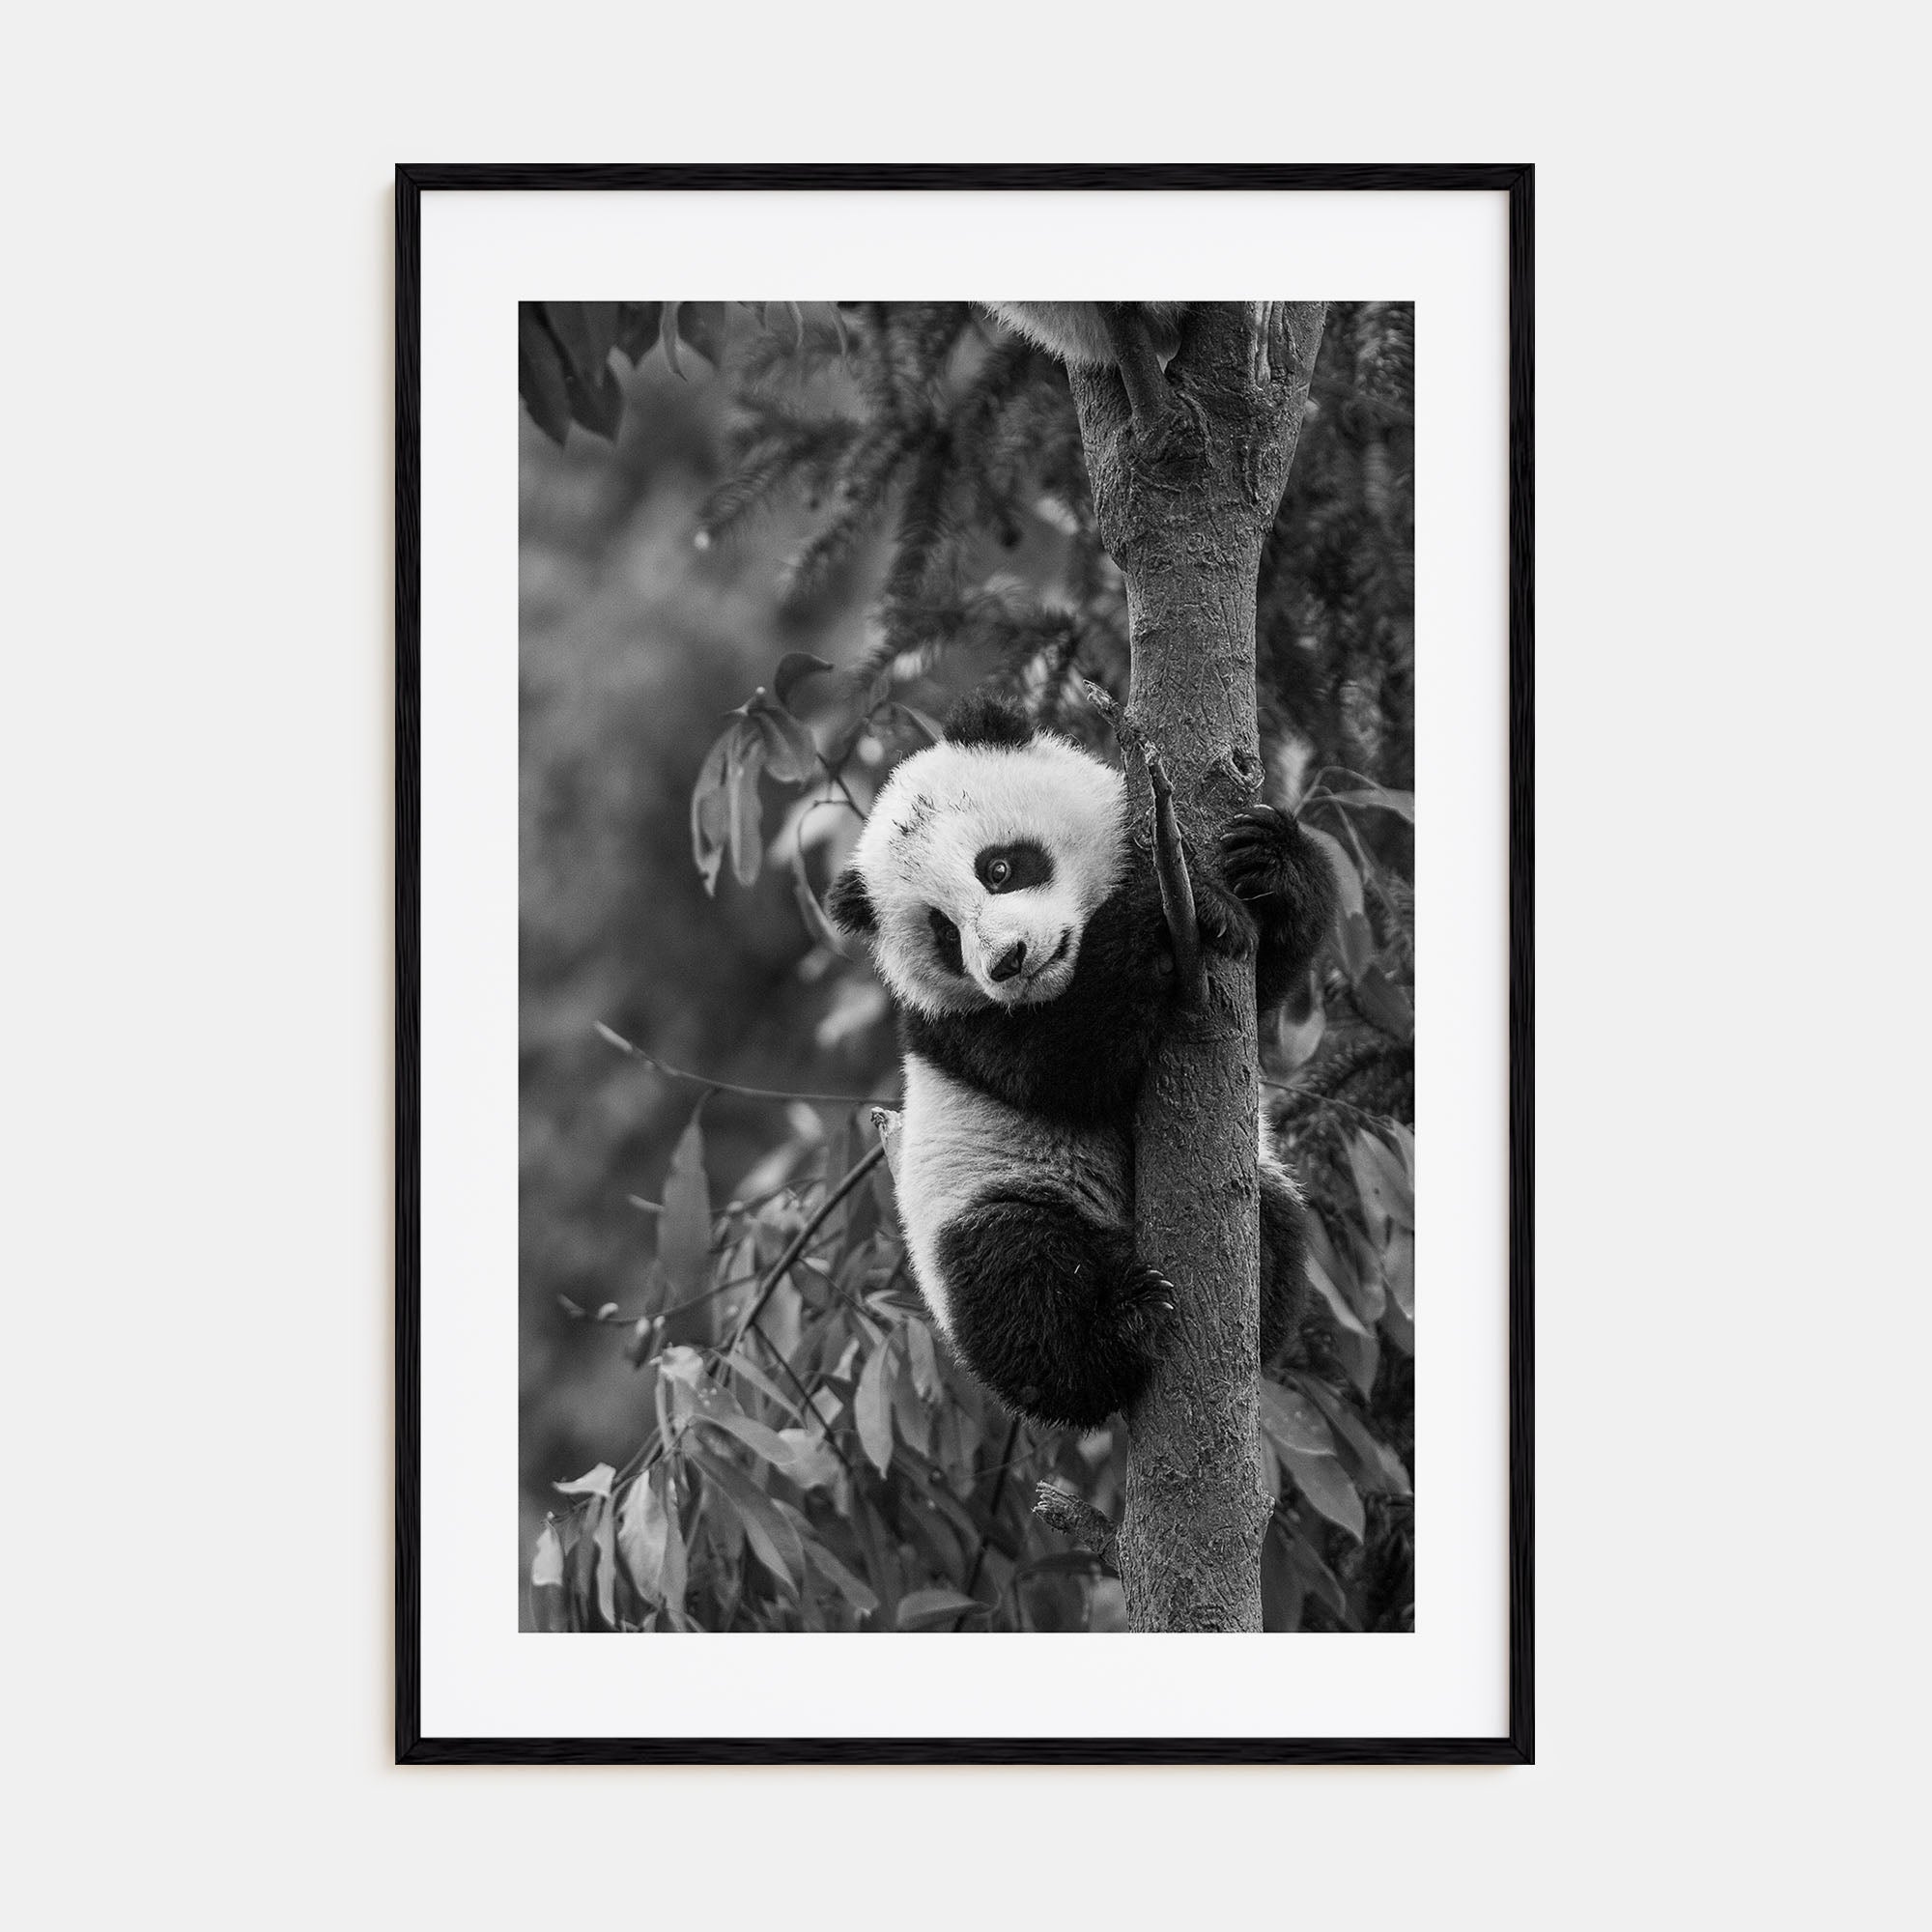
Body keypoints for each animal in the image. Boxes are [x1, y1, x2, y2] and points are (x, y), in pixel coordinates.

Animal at [824, 693, 1337, 1431]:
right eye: (944, 934)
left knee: (1280, 1222)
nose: (1008, 962)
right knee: (1020, 1285)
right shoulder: (955, 1027)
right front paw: (1165, 915)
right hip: (988, 1197)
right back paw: (1123, 1326)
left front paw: (1267, 862)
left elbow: (1264, 977)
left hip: (1260, 1182)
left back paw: (1254, 1308)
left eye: (999, 867)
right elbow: (1065, 1064)